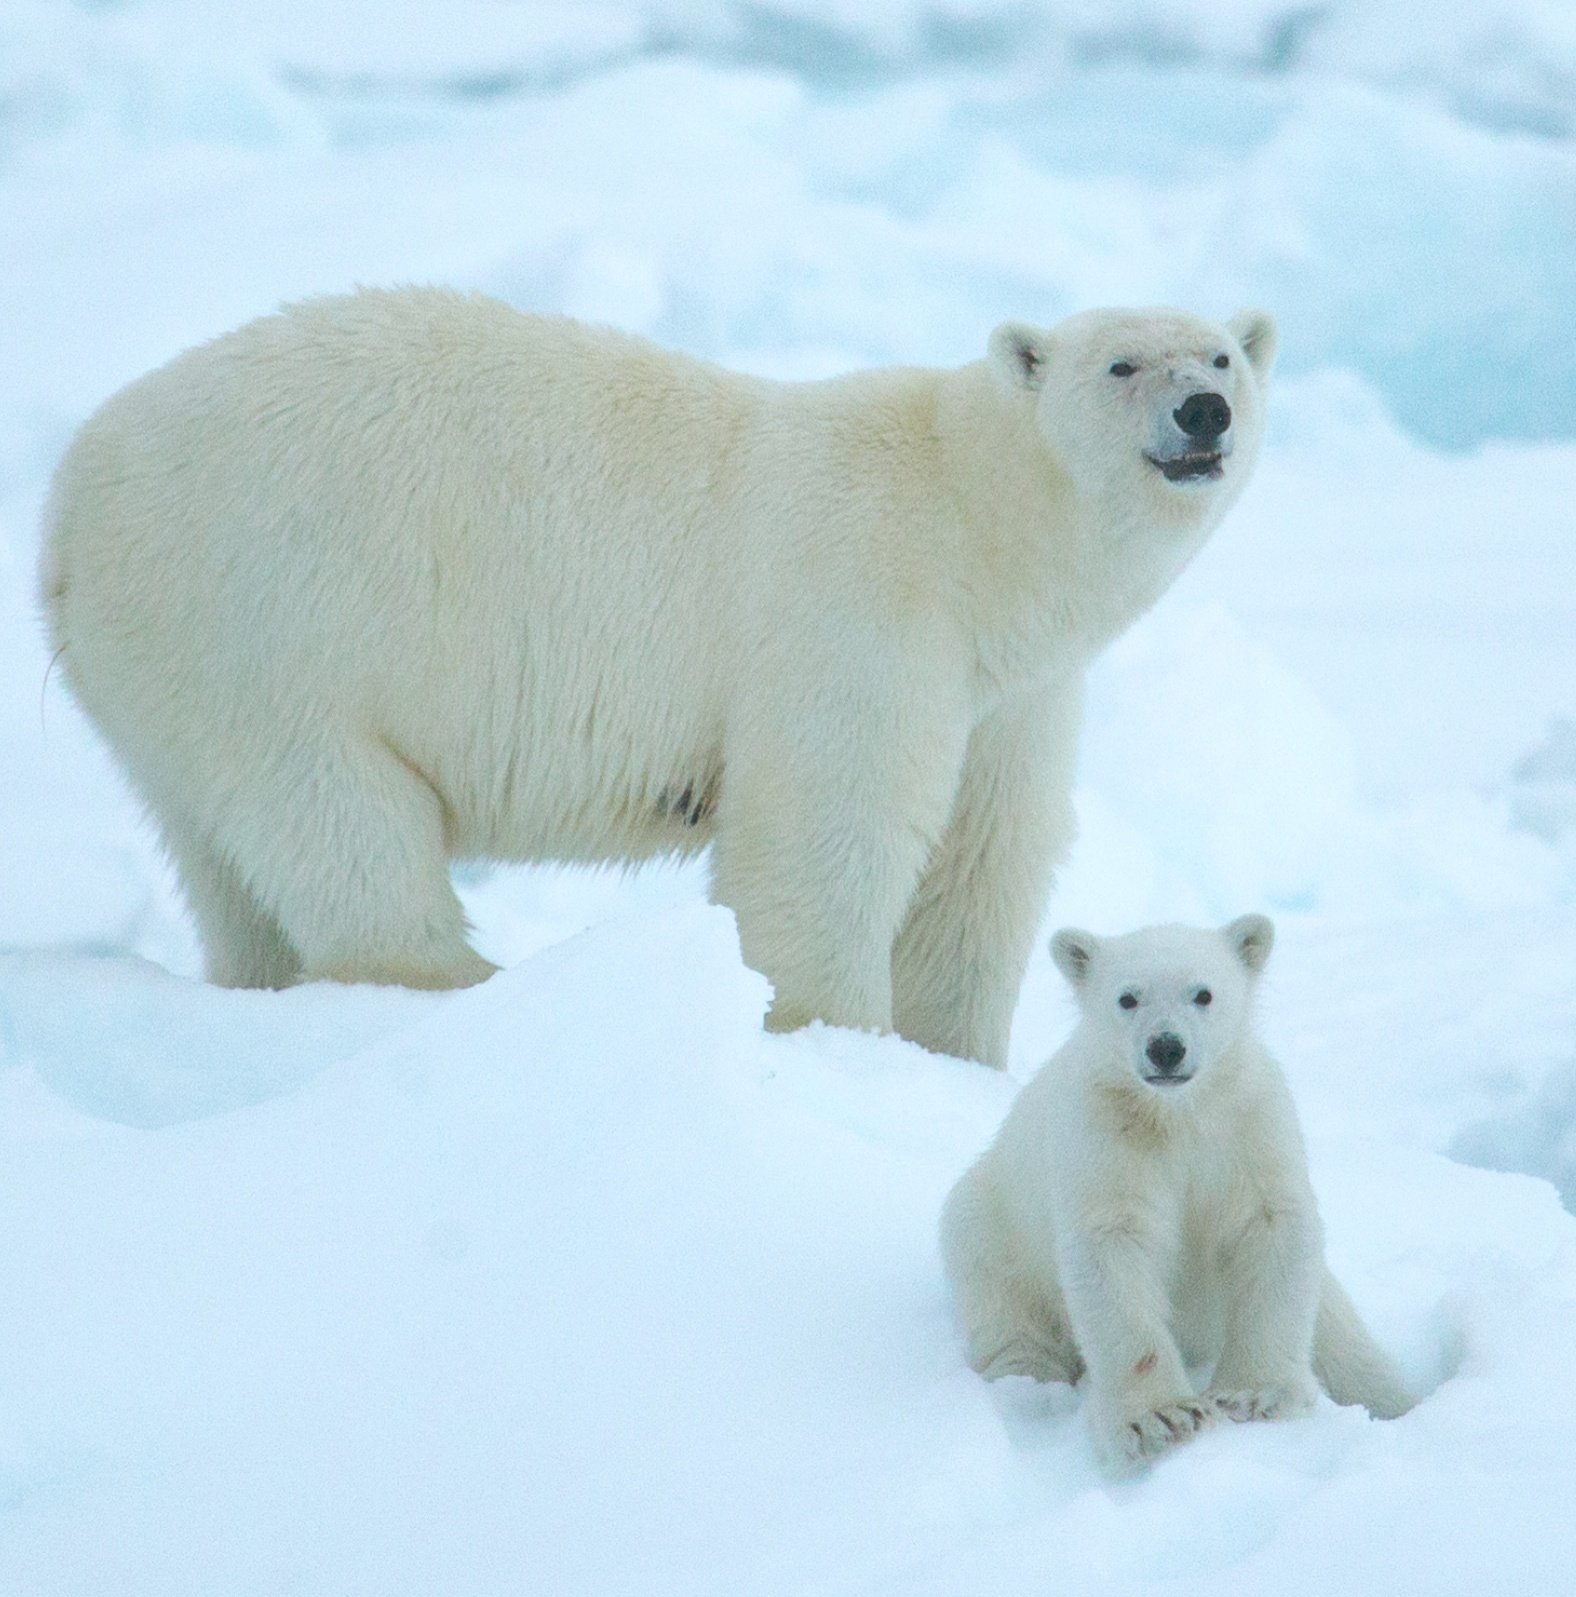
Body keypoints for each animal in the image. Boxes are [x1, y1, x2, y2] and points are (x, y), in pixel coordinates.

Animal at [43, 290, 1277, 1060]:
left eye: (1221, 353)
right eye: (1121, 362)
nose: (1203, 410)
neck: (971, 525)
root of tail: (68, 496)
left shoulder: (1010, 691)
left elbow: (984, 860)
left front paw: (954, 1063)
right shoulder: (856, 615)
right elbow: (824, 839)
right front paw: (829, 1036)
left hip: (171, 671)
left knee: (226, 856)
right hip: (268, 622)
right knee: (342, 824)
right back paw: (463, 984)